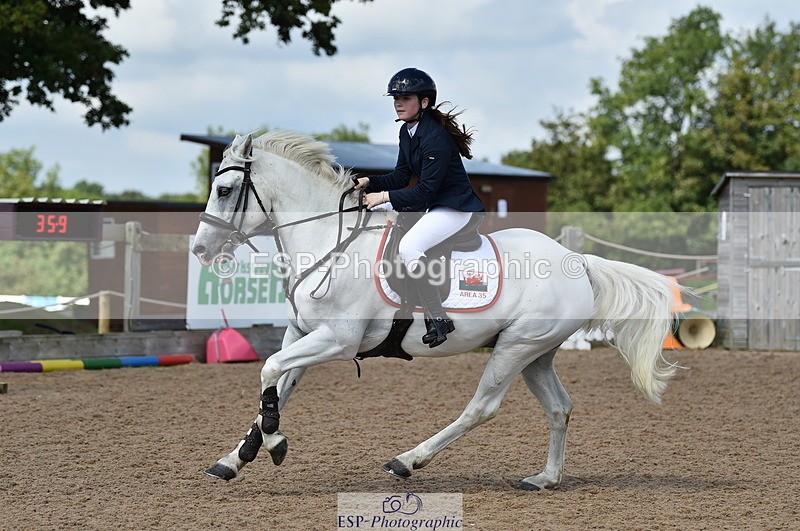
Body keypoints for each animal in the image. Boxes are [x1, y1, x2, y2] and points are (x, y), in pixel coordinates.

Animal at [191, 130, 679, 490]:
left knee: (481, 408)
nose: (200, 250)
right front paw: (236, 458)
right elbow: (276, 387)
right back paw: (545, 478)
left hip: (515, 349)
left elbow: (269, 369)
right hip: (535, 352)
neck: (329, 241)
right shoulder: (301, 334)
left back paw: (407, 460)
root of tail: (576, 261)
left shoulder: (336, 340)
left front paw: (274, 444)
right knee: (559, 408)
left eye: (225, 189)